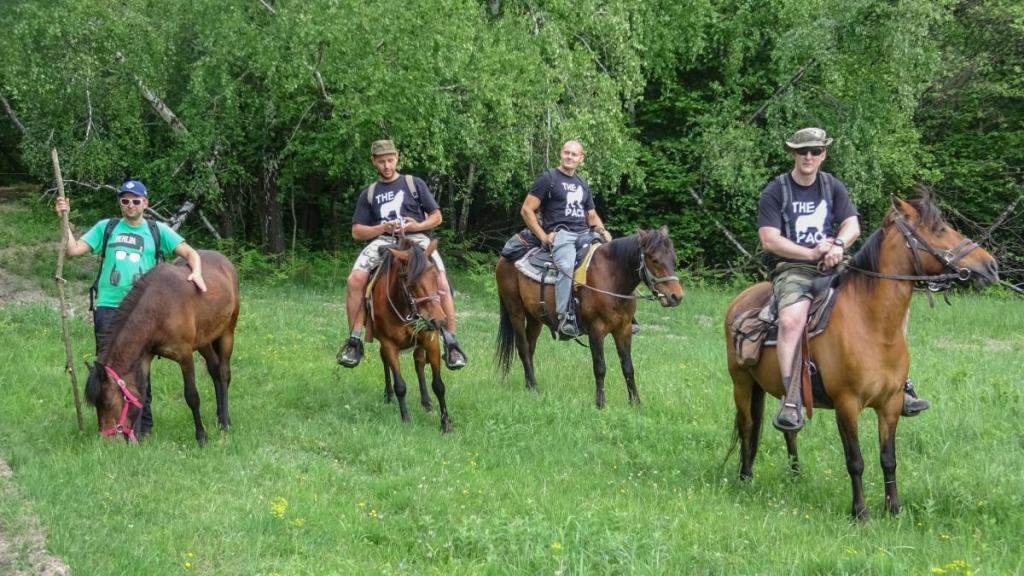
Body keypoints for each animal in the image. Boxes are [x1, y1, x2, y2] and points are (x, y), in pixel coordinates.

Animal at [85, 250, 240, 446]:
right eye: (96, 405)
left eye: (107, 403)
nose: (106, 441)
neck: (158, 307)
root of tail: (225, 261)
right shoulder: (145, 357)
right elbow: (141, 395)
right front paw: (137, 438)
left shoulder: (185, 356)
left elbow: (192, 396)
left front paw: (201, 437)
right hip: (204, 341)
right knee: (214, 370)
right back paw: (220, 417)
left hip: (227, 333)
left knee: (223, 373)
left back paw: (225, 422)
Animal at [367, 238, 453, 432]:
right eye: (410, 281)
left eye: (435, 276)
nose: (438, 321)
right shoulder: (389, 343)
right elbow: (400, 385)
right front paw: (405, 418)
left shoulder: (431, 340)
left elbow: (439, 385)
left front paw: (445, 423)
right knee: (385, 361)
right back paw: (388, 395)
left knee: (419, 362)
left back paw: (426, 402)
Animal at [496, 227, 684, 407]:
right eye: (654, 259)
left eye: (674, 259)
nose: (676, 296)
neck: (611, 278)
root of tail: (503, 259)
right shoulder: (596, 331)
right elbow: (600, 367)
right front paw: (600, 403)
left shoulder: (623, 329)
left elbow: (628, 367)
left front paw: (635, 402)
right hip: (515, 310)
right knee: (522, 347)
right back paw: (533, 387)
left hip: (535, 317)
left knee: (530, 347)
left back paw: (530, 385)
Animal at [724, 194, 999, 520]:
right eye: (940, 229)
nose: (990, 265)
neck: (872, 326)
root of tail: (739, 301)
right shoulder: (847, 405)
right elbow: (855, 460)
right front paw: (861, 513)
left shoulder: (890, 405)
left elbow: (888, 458)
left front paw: (894, 509)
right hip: (741, 382)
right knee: (747, 426)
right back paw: (745, 478)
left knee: (788, 431)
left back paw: (795, 475)